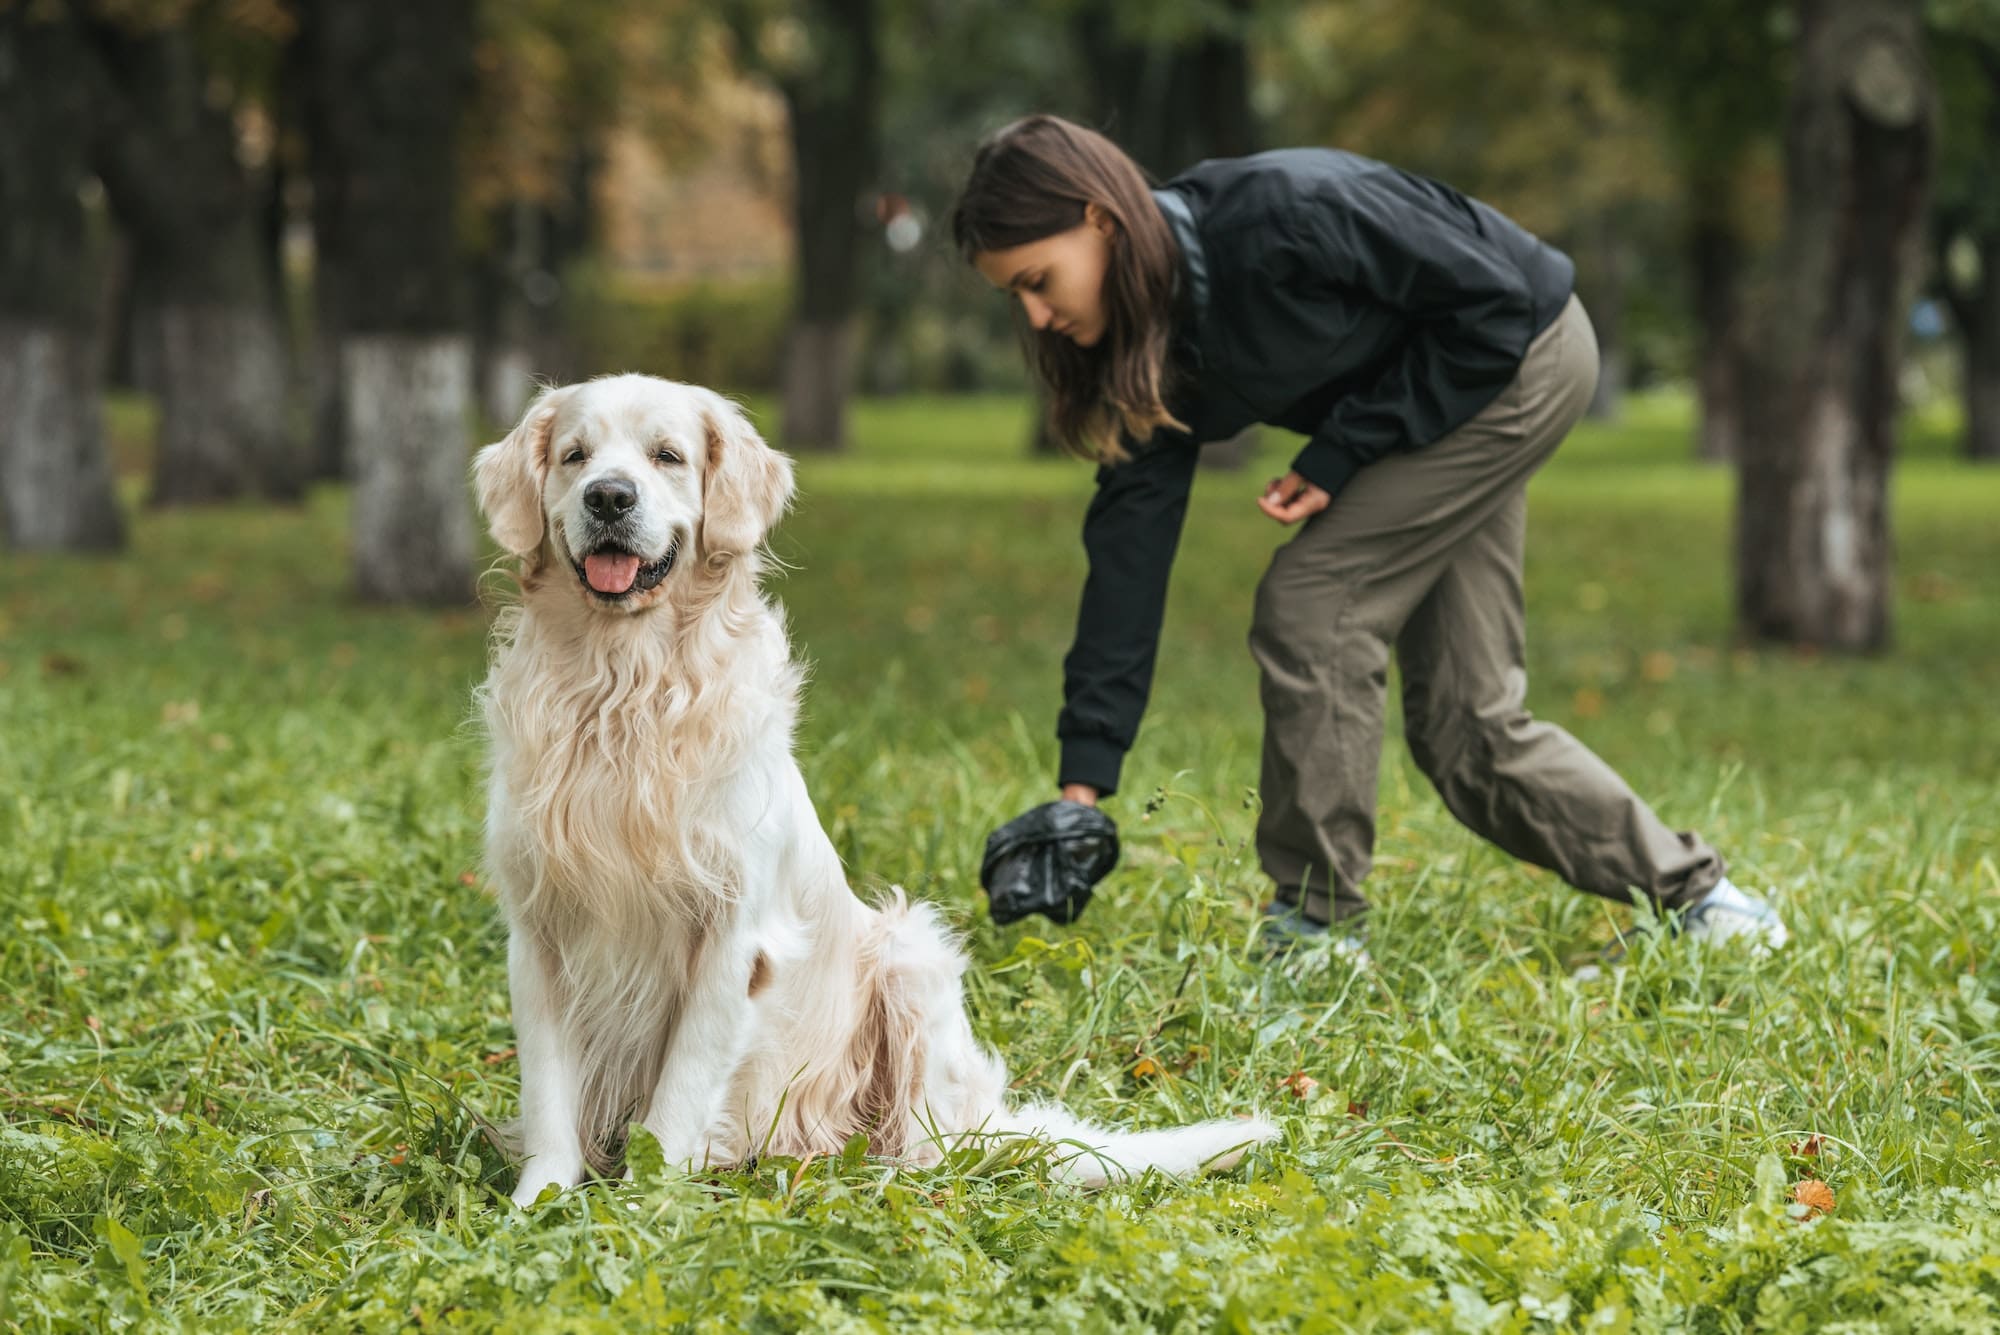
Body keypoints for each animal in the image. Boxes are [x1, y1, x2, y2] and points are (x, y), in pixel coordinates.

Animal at [476, 369, 1272, 1207]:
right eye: (575, 456)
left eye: (667, 455)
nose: (609, 497)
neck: (622, 689)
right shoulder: (539, 930)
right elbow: (550, 1096)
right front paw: (537, 1204)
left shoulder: (732, 936)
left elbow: (677, 1099)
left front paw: (640, 1203)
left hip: (910, 953)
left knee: (934, 1147)